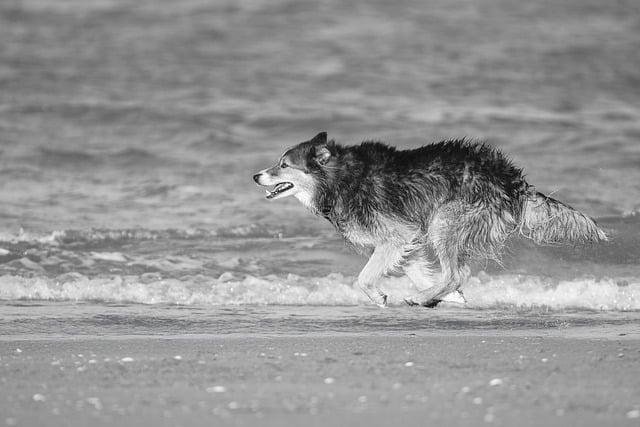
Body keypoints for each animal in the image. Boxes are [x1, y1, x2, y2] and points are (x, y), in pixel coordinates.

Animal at [252, 131, 608, 308]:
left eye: (283, 165)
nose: (256, 176)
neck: (339, 179)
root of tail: (512, 180)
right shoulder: (408, 239)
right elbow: (419, 271)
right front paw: (446, 296)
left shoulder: (396, 235)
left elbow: (364, 277)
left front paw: (382, 296)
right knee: (457, 272)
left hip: (444, 221)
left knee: (457, 271)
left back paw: (420, 298)